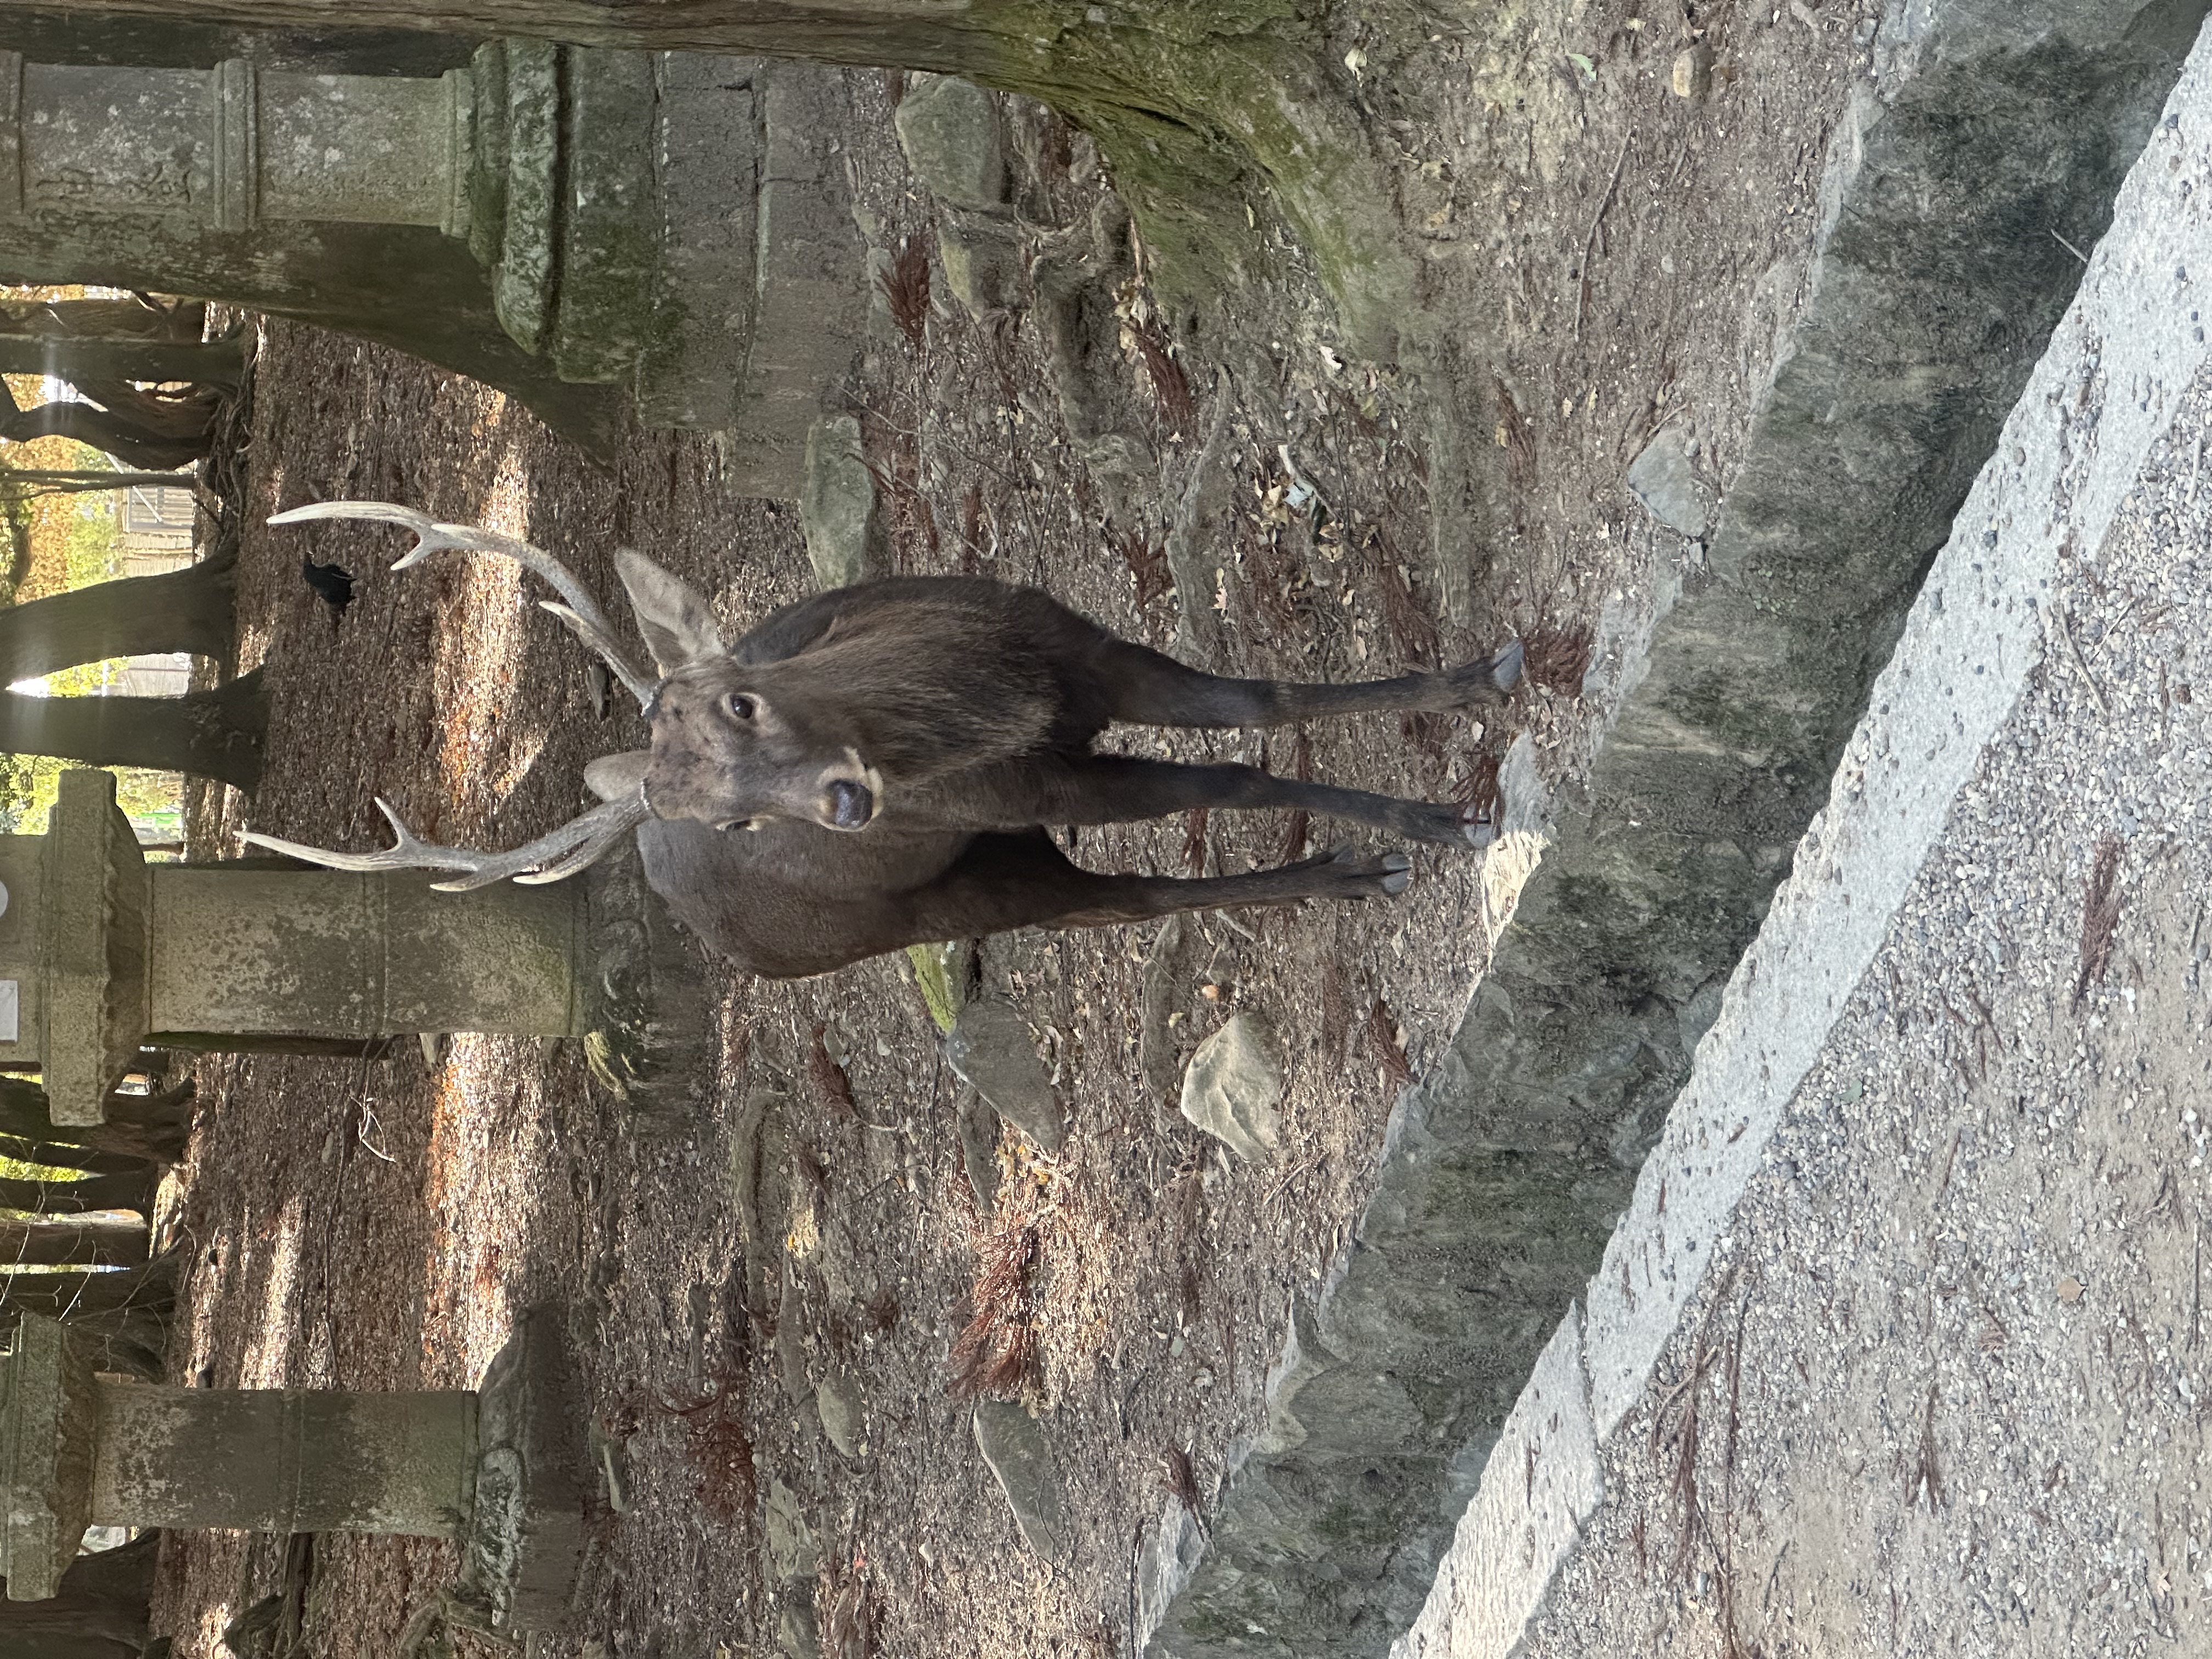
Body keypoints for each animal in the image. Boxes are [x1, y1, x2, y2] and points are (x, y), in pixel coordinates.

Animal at [243, 503, 1523, 980]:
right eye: (736, 816)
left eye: (741, 700)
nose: (847, 802)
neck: (989, 699)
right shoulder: (1027, 787)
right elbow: (1237, 776)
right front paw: (1427, 826)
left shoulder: (1081, 649)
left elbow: (1264, 703)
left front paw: (1482, 673)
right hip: (960, 889)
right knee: (1125, 904)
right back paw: (1344, 876)